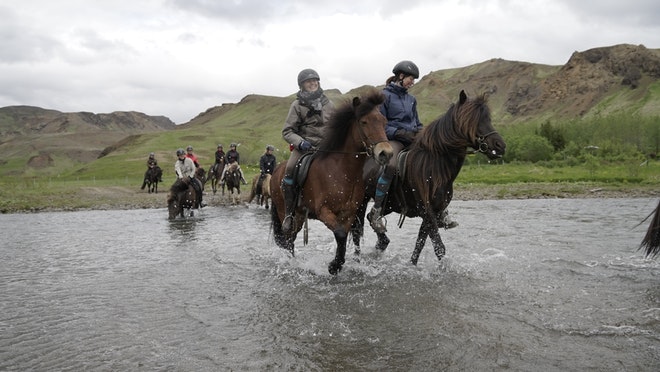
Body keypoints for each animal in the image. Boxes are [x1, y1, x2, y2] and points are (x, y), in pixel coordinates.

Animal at [270, 89, 394, 276]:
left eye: (383, 121)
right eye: (364, 122)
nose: (385, 153)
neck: (342, 171)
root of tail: (276, 171)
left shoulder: (348, 214)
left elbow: (343, 236)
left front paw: (338, 264)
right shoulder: (324, 211)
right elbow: (341, 235)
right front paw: (334, 266)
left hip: (299, 215)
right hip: (285, 212)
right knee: (289, 238)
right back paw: (292, 264)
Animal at [356, 90, 506, 264]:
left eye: (488, 119)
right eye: (473, 119)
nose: (500, 146)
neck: (434, 166)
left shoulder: (431, 213)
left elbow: (419, 245)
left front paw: (412, 266)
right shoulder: (427, 211)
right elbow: (439, 247)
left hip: (390, 205)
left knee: (370, 218)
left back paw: (381, 242)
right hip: (361, 202)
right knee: (357, 229)